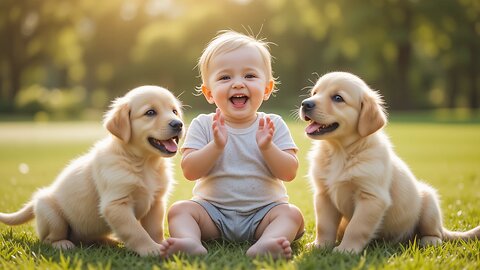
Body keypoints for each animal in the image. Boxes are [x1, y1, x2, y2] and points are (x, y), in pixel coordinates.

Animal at [0, 85, 184, 256]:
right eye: (150, 112)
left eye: (174, 111)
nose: (179, 124)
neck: (145, 163)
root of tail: (39, 198)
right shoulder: (116, 204)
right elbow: (136, 231)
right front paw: (151, 249)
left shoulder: (156, 202)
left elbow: (154, 229)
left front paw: (162, 244)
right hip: (52, 215)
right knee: (48, 239)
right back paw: (63, 244)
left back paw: (110, 241)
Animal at [300, 71, 480, 253]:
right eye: (314, 93)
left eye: (338, 98)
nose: (305, 104)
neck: (340, 152)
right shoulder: (324, 194)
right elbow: (324, 226)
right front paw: (320, 245)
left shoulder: (372, 198)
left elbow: (356, 227)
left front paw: (346, 250)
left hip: (429, 202)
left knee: (436, 233)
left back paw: (429, 240)